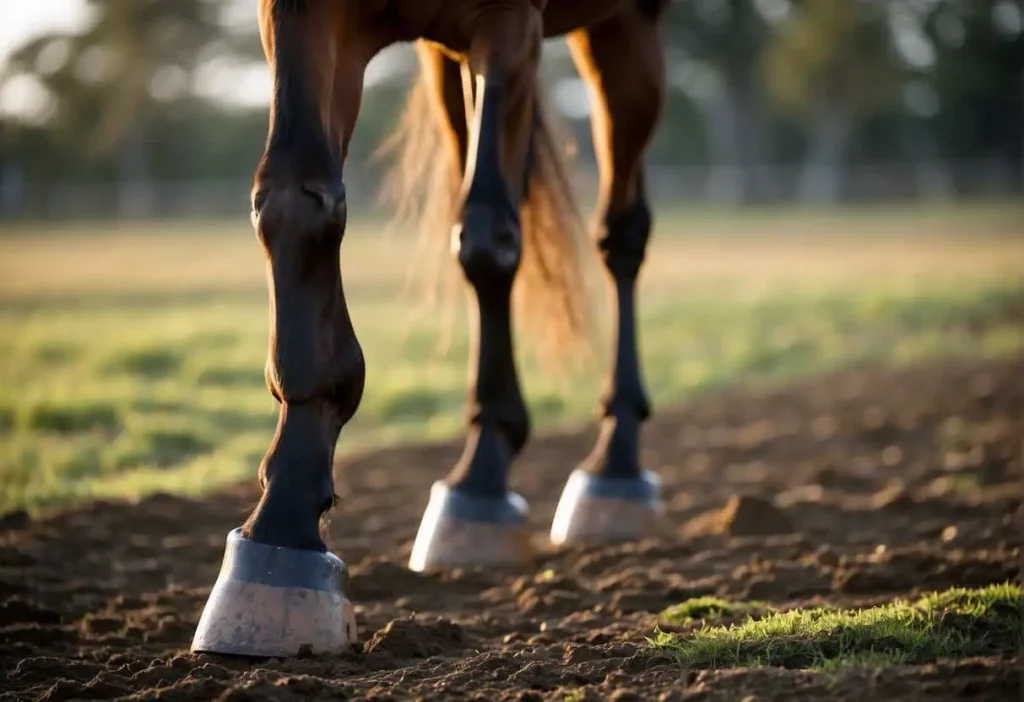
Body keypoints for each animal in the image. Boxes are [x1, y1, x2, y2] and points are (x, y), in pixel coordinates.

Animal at [192, 0, 671, 659]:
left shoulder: (511, 23)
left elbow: (488, 234)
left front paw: (485, 464)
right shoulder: (306, 15)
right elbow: (296, 198)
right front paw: (282, 518)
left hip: (627, 28)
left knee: (619, 233)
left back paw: (613, 466)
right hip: (453, 61)